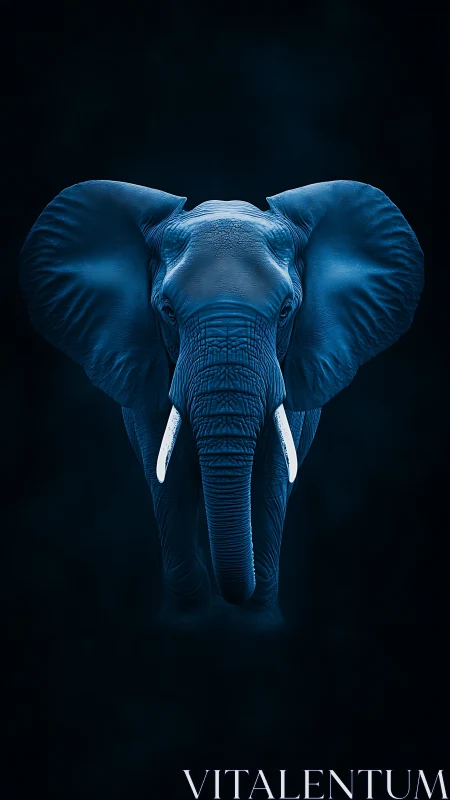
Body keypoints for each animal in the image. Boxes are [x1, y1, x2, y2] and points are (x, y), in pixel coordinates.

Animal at [20, 179, 423, 629]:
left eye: (286, 310)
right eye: (167, 311)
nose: (229, 600)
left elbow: (270, 477)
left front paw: (257, 622)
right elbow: (170, 479)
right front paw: (186, 618)